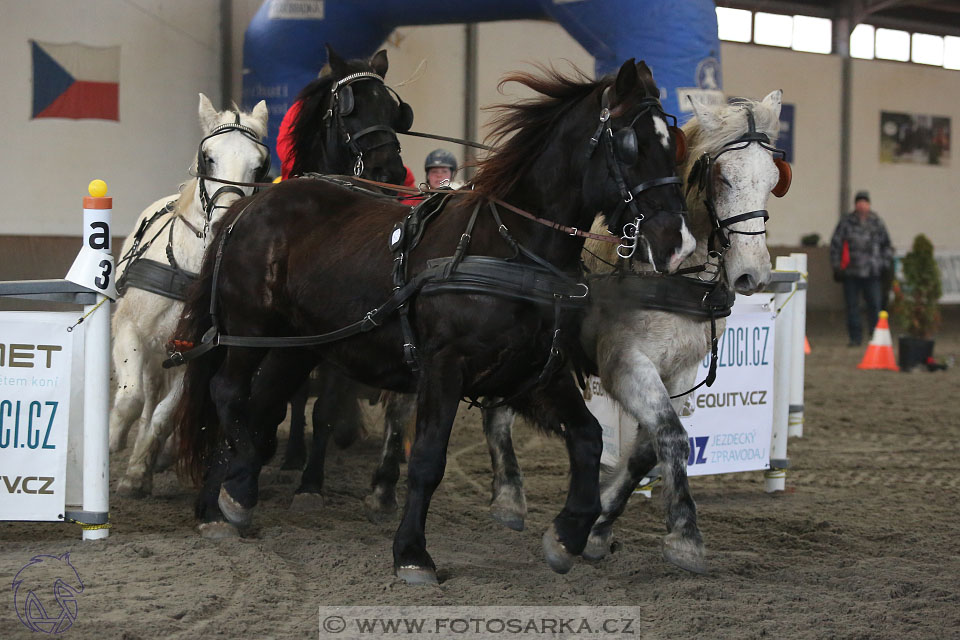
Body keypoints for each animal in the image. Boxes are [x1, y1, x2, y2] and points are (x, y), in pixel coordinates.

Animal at [109, 94, 270, 496]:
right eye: (208, 157)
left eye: (260, 166)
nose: (226, 219)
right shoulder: (129, 330)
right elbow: (130, 398)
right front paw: (111, 440)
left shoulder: (195, 353)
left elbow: (164, 415)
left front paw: (138, 472)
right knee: (144, 392)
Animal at [176, 61, 692, 584]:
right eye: (630, 144)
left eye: (672, 142)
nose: (679, 243)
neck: (511, 246)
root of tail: (251, 204)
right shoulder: (445, 367)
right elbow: (427, 459)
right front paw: (412, 552)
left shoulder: (535, 372)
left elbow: (588, 439)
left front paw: (568, 536)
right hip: (251, 328)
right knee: (229, 393)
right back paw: (226, 494)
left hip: (299, 346)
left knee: (263, 405)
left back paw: (235, 495)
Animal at [364, 87, 792, 572]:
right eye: (721, 176)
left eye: (774, 178)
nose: (751, 274)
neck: (669, 274)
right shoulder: (625, 364)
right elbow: (671, 437)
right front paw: (684, 535)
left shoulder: (680, 371)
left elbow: (646, 451)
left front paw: (597, 526)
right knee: (402, 407)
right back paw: (383, 490)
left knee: (497, 412)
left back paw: (508, 497)